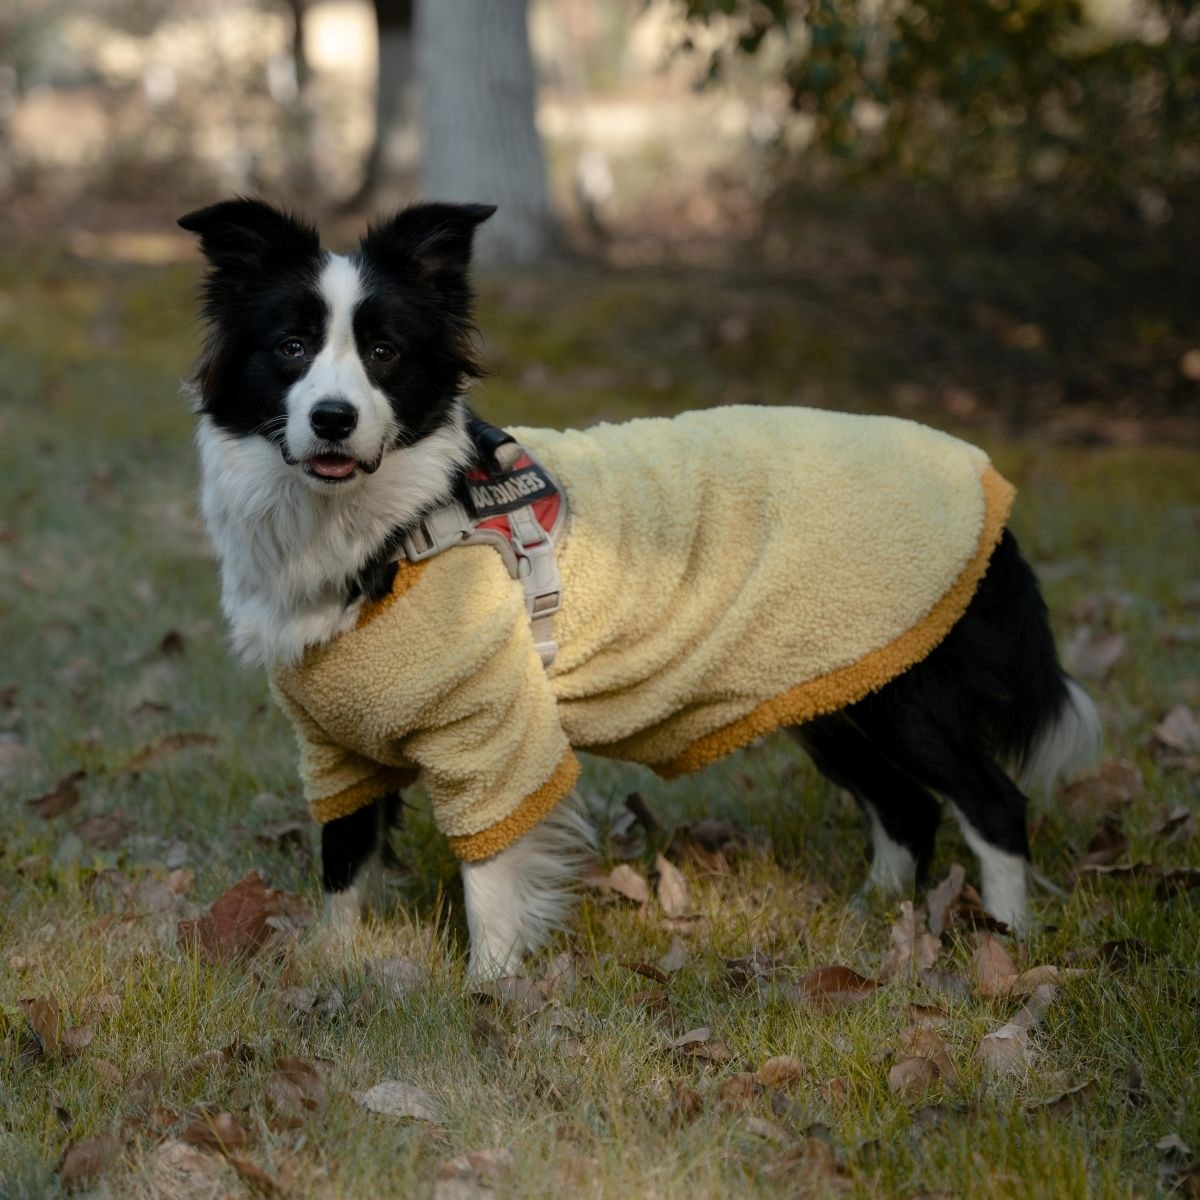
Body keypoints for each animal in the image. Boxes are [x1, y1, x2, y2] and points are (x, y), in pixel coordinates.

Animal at [180, 196, 1104, 979]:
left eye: (384, 353)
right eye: (290, 348)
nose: (332, 418)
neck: (392, 524)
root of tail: (984, 479)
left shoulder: (488, 728)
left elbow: (489, 872)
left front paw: (489, 990)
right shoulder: (334, 740)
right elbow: (343, 859)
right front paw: (333, 966)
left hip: (905, 696)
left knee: (992, 802)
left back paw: (1005, 939)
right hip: (832, 685)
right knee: (908, 807)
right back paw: (872, 916)